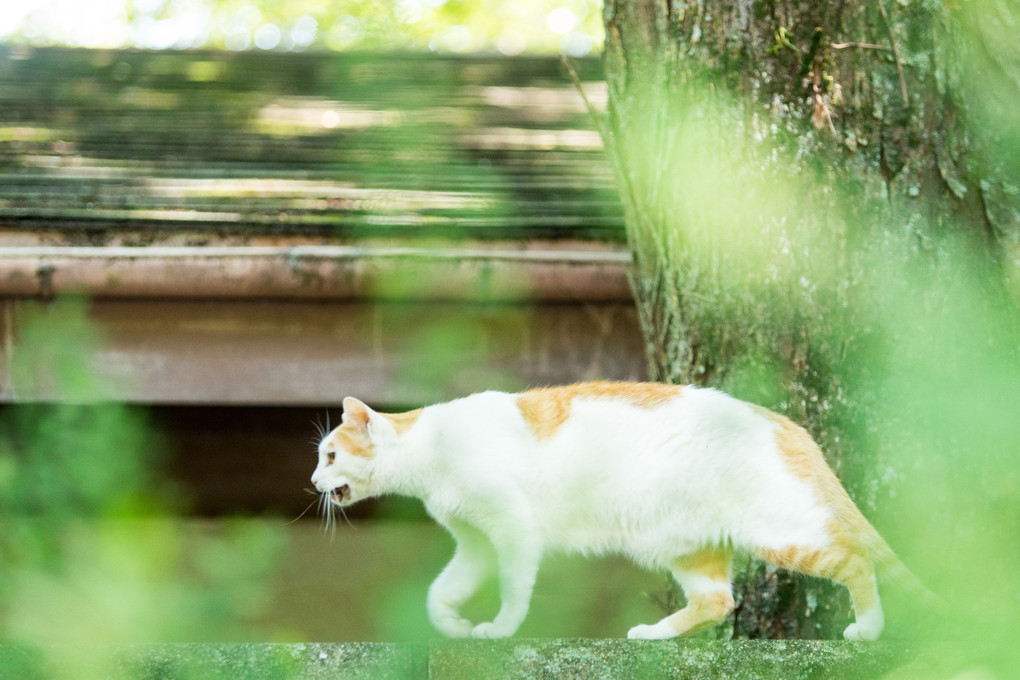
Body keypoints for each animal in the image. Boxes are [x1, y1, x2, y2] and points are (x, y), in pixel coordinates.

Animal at [308, 381, 918, 640]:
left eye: (330, 454)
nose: (312, 481)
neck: (432, 450)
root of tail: (783, 423)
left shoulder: (513, 530)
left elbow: (515, 590)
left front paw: (499, 630)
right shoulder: (476, 543)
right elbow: (441, 592)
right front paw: (452, 625)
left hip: (781, 532)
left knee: (855, 562)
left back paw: (868, 629)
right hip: (687, 544)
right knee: (717, 601)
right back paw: (654, 634)